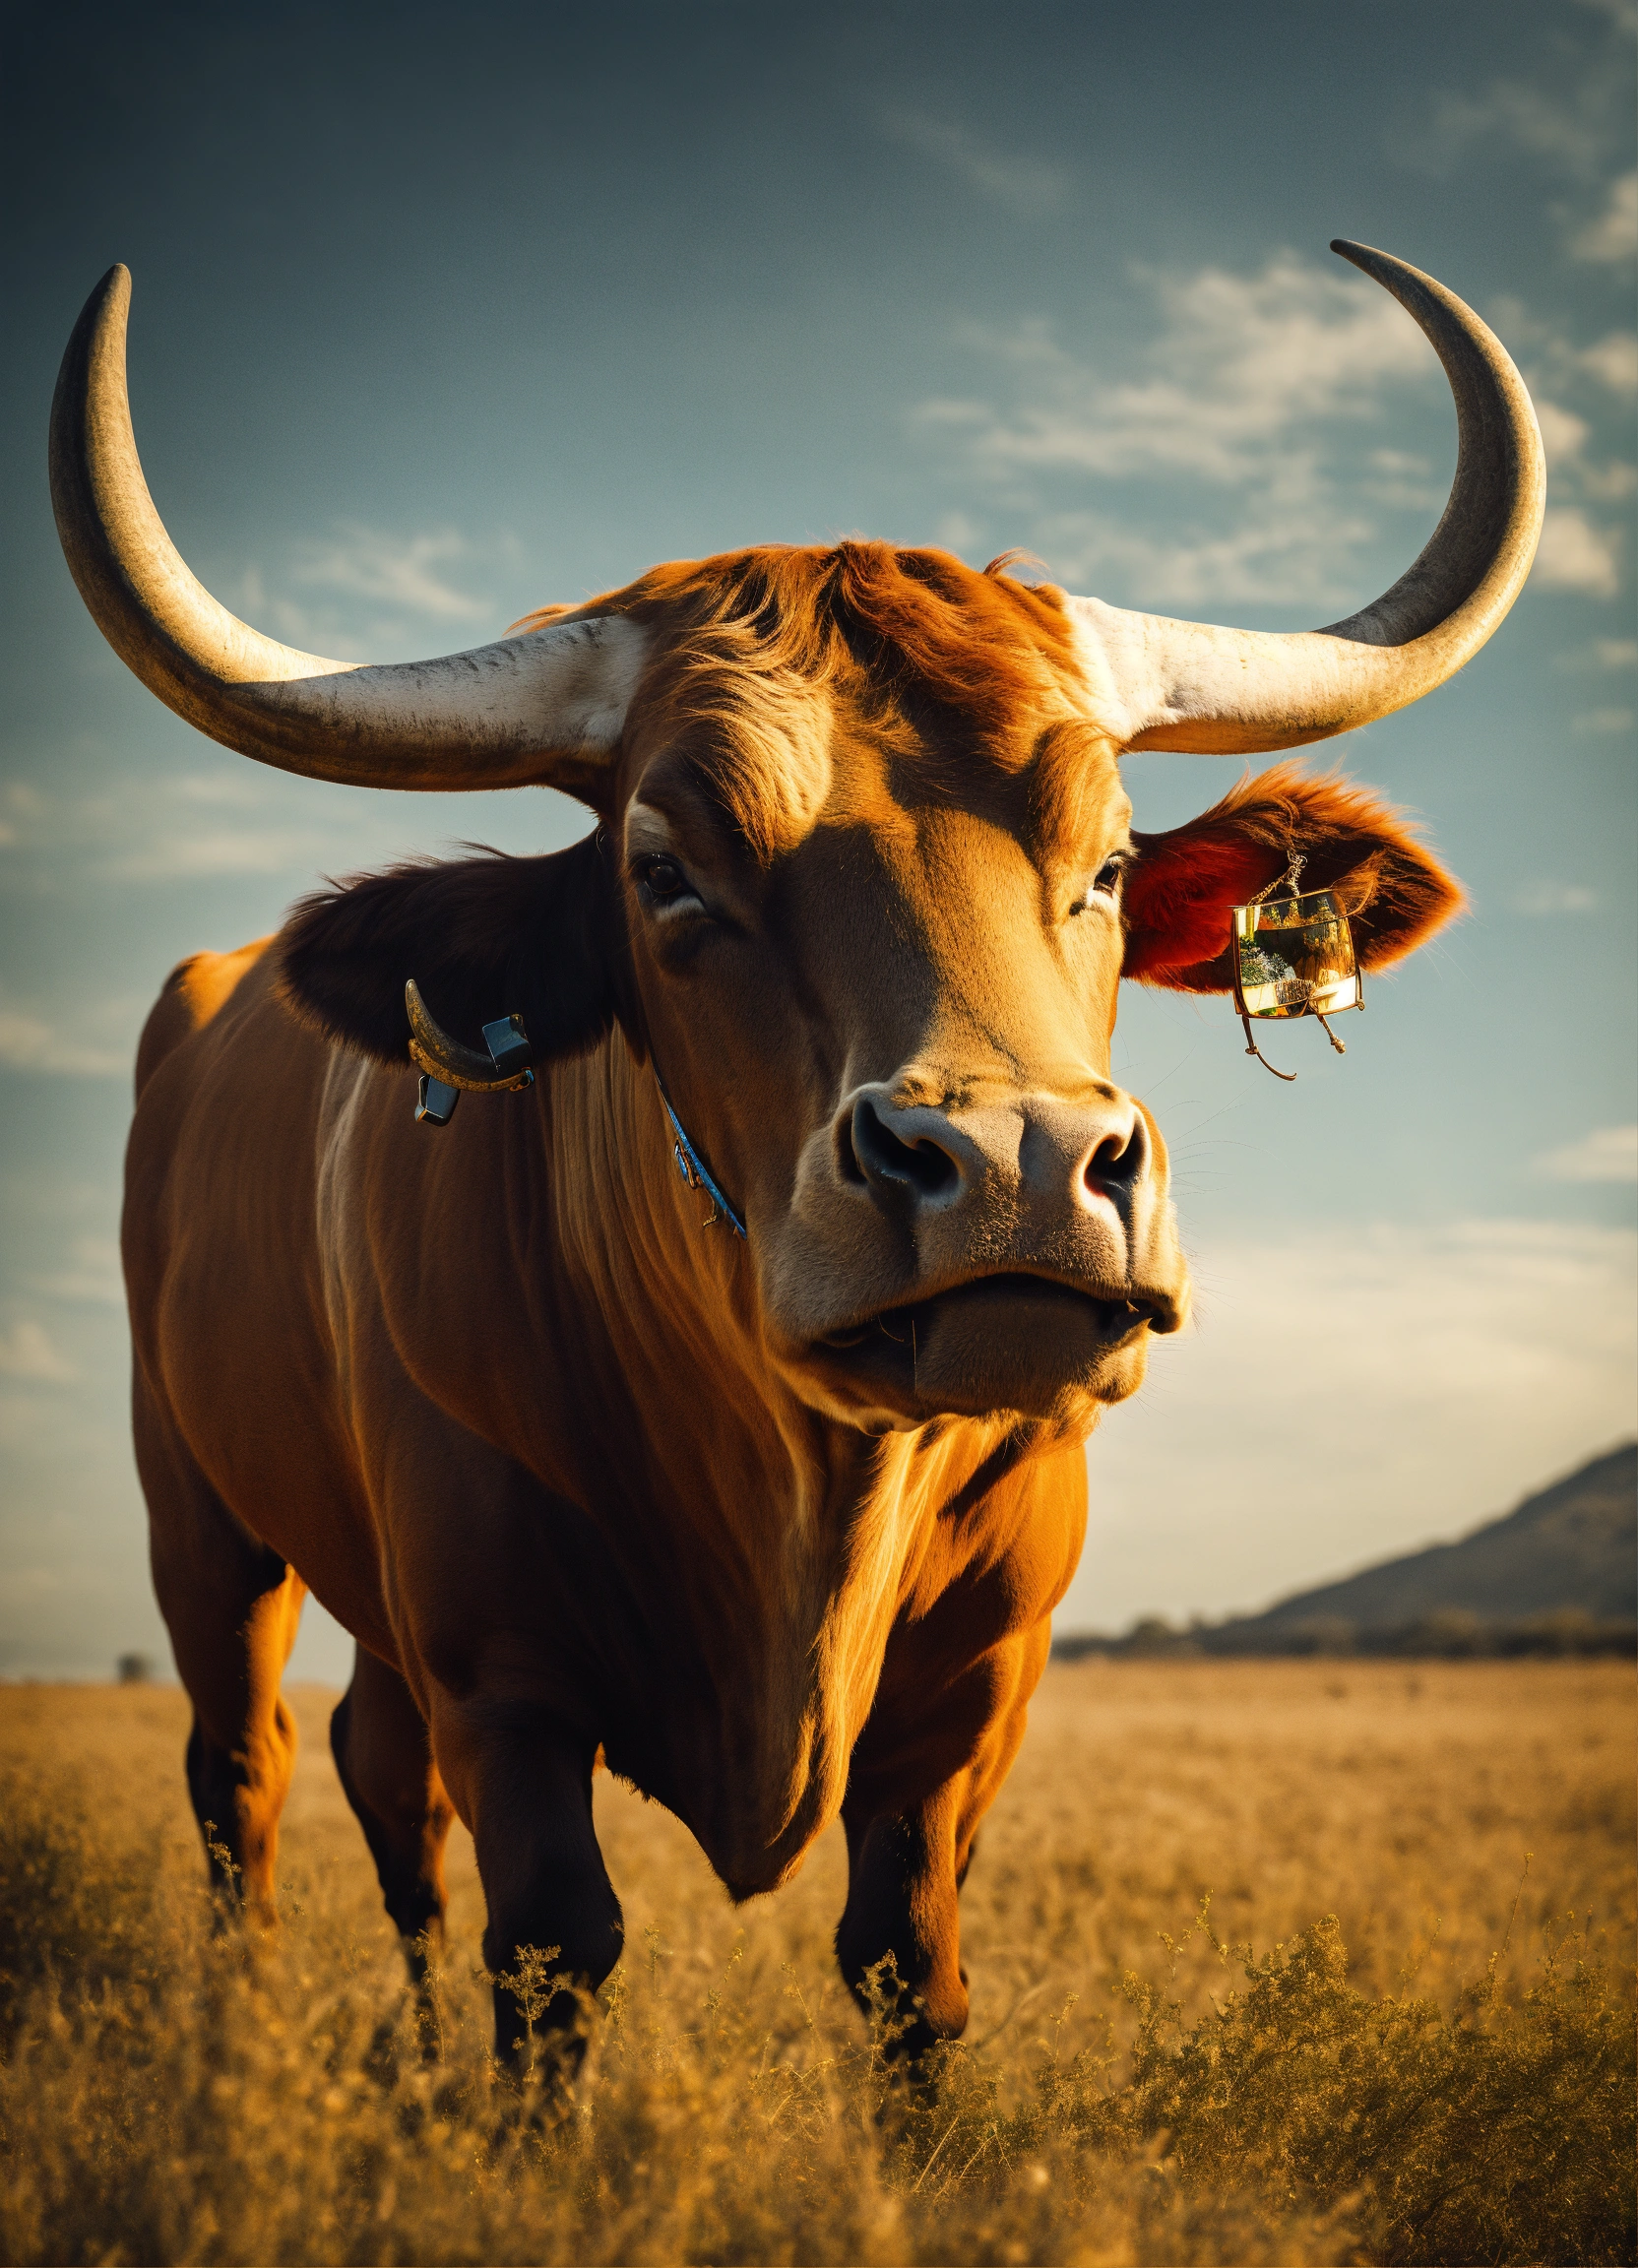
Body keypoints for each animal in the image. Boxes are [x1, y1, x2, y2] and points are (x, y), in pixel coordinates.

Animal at [51, 240, 1541, 2074]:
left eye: (1114, 862)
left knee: (376, 1783)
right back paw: (253, 2046)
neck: (797, 1505)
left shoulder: (978, 1687)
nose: (1015, 1167)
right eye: (665, 873)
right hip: (197, 1517)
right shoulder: (501, 1671)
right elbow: (547, 1956)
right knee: (246, 1777)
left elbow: (908, 1962)